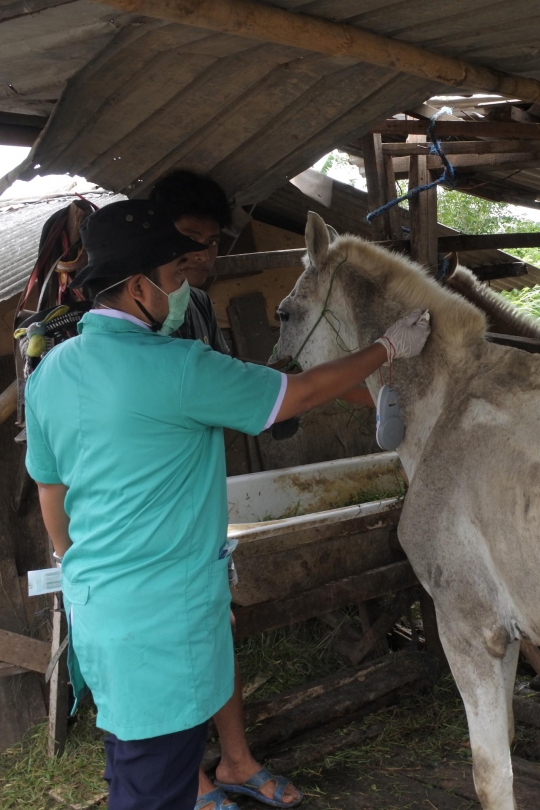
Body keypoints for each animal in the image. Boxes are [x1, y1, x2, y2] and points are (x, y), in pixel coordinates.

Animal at [276, 210, 540, 808]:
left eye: (284, 313)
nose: (280, 413)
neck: (449, 405)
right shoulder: (505, 636)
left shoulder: (471, 628)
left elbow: (491, 775)